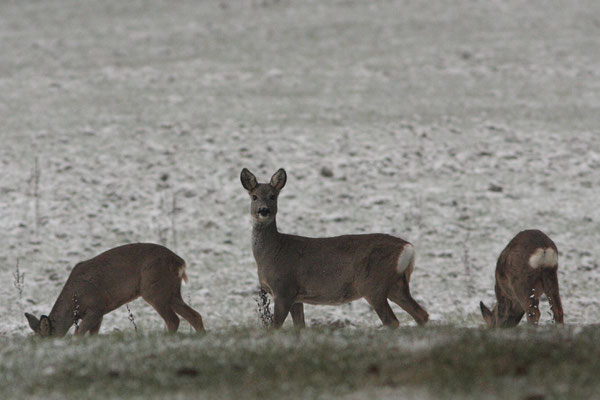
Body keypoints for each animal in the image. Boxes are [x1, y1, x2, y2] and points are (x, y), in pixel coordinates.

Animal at [25, 242, 206, 336]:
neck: (74, 300)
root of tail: (179, 261)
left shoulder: (96, 308)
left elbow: (78, 334)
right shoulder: (99, 315)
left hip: (154, 290)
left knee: (173, 319)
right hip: (172, 291)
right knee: (194, 315)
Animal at [241, 168, 428, 328]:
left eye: (273, 196)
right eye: (254, 196)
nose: (263, 210)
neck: (273, 251)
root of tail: (408, 248)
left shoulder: (284, 289)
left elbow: (274, 327)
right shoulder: (297, 297)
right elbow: (299, 327)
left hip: (373, 285)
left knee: (392, 321)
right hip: (397, 285)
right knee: (422, 314)